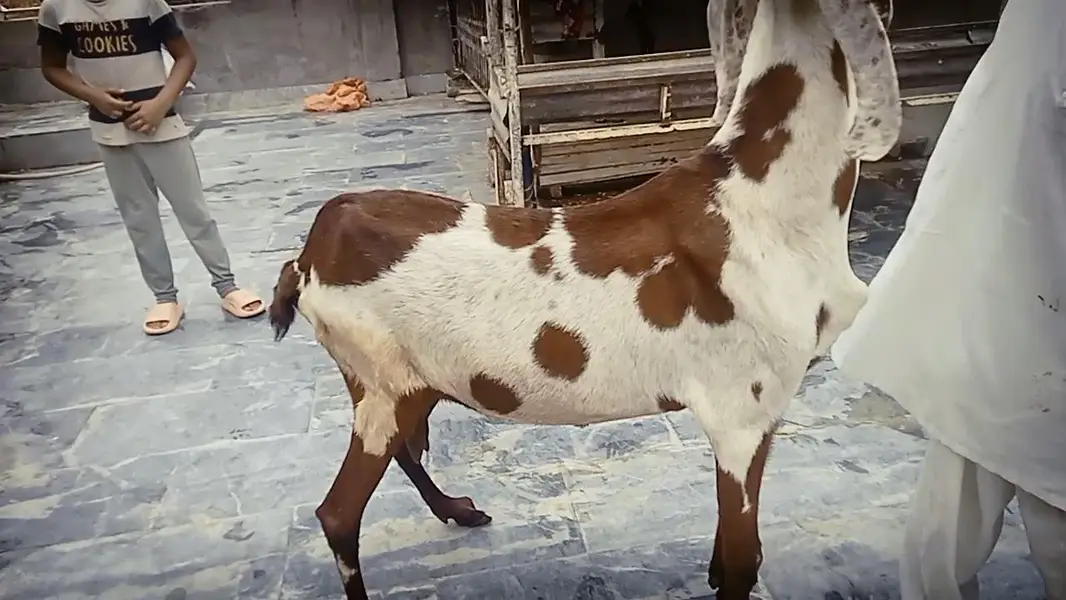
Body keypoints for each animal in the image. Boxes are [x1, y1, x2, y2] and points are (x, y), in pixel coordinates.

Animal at [268, 0, 900, 597]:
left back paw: (456, 510)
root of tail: (311, 254)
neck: (761, 197)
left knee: (404, 450)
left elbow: (726, 558)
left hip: (407, 381)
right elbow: (745, 561)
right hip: (383, 384)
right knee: (338, 513)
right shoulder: (740, 416)